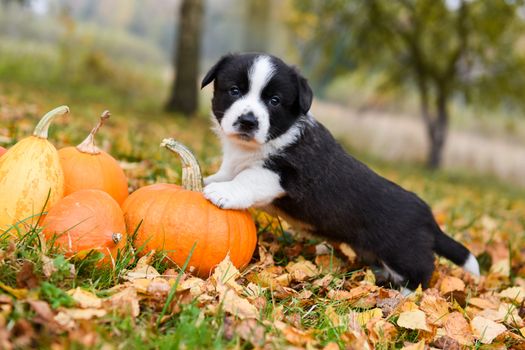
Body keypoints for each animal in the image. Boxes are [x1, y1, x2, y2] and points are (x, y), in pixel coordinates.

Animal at [201, 53, 478, 292]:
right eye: (234, 90)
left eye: (274, 101)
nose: (248, 121)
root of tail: (428, 217)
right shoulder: (235, 162)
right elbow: (226, 172)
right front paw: (207, 180)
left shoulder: (284, 174)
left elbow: (248, 178)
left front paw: (222, 192)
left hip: (403, 253)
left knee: (422, 274)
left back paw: (403, 297)